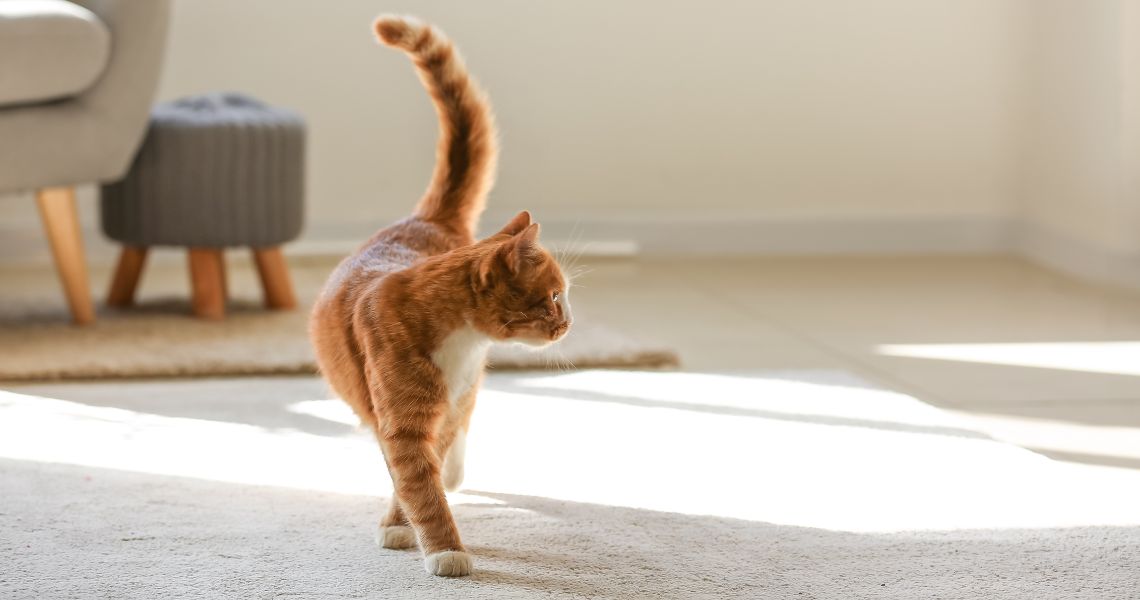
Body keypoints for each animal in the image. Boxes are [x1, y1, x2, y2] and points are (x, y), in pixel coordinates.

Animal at [309, 15, 572, 577]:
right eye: (554, 297)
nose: (568, 323)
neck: (461, 340)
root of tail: (426, 219)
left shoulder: (446, 409)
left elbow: (419, 477)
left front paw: (407, 524)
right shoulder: (403, 424)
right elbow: (417, 486)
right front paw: (444, 548)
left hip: (464, 396)